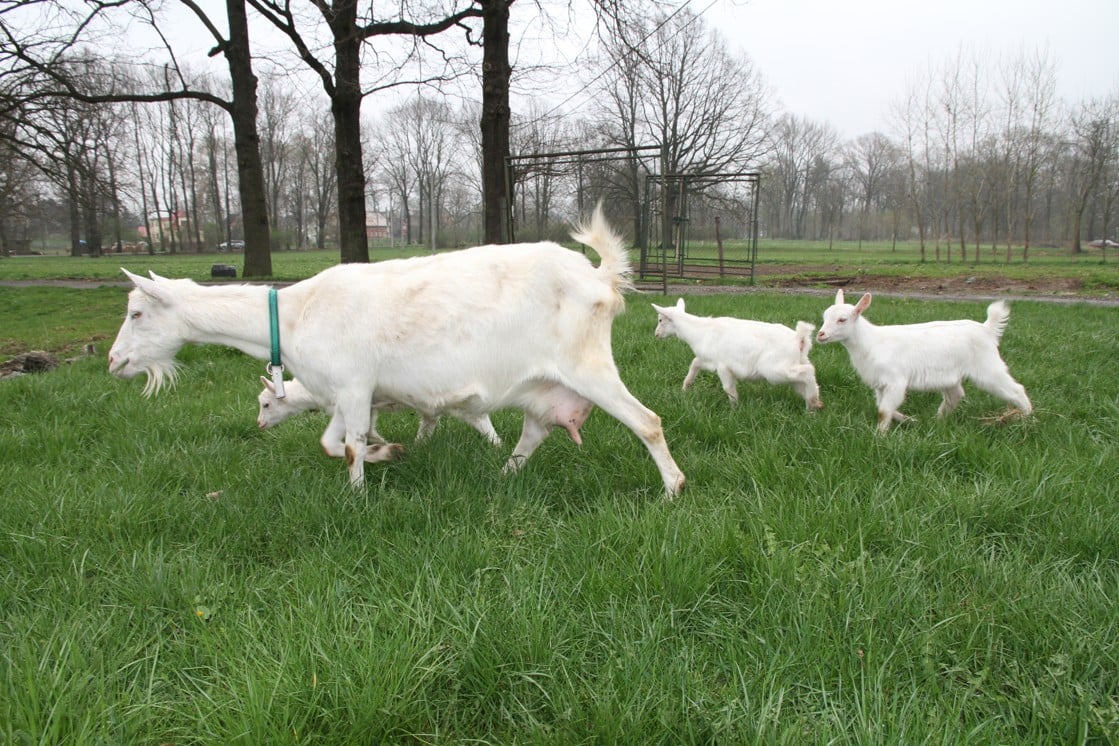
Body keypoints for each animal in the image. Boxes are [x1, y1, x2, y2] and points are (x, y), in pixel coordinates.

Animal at [257, 375, 503, 463]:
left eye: (266, 404)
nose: (259, 424)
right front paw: (382, 445)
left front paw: (382, 447)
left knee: (481, 420)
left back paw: (496, 446)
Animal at [814, 290, 1029, 431]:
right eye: (825, 316)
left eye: (842, 319)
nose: (820, 335)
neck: (871, 342)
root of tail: (987, 329)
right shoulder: (880, 384)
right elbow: (883, 407)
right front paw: (909, 420)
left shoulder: (895, 380)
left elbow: (883, 410)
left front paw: (879, 436)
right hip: (950, 376)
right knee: (955, 395)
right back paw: (938, 422)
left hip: (988, 367)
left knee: (1016, 389)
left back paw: (1026, 418)